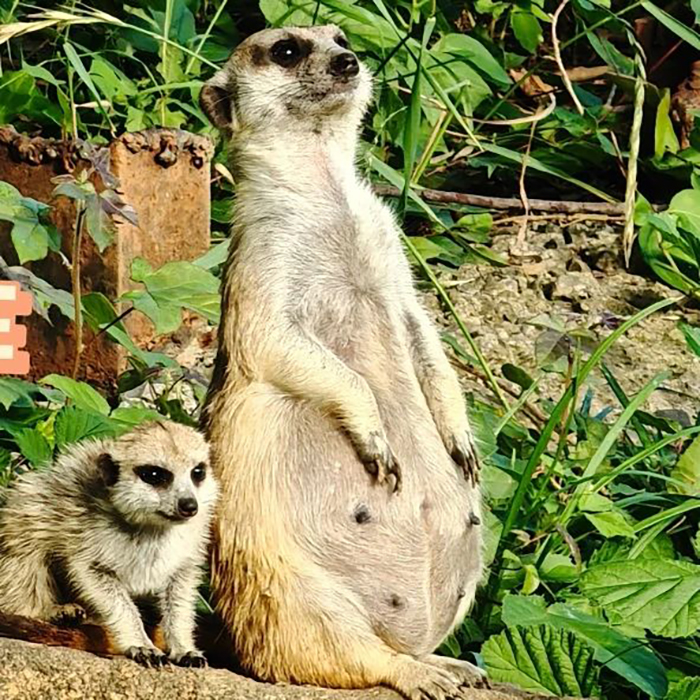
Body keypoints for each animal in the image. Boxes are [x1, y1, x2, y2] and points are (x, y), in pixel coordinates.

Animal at [200, 24, 484, 700]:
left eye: (339, 35)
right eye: (286, 50)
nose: (350, 60)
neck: (330, 197)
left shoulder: (389, 249)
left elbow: (424, 332)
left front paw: (459, 437)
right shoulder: (260, 257)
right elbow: (273, 341)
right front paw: (375, 432)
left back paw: (448, 662)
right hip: (291, 588)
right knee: (343, 654)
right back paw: (417, 672)